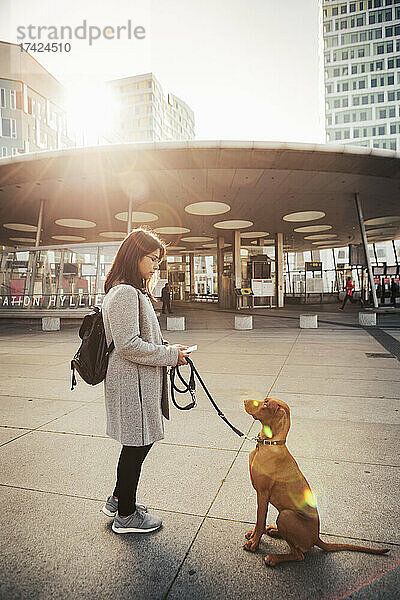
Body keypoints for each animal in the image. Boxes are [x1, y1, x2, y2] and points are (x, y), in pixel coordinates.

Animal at [242, 398, 390, 568]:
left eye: (266, 403)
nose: (245, 400)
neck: (268, 444)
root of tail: (316, 537)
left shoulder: (263, 493)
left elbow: (260, 520)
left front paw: (254, 543)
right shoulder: (260, 495)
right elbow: (258, 520)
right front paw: (253, 536)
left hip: (286, 515)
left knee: (299, 555)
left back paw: (273, 558)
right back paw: (274, 530)